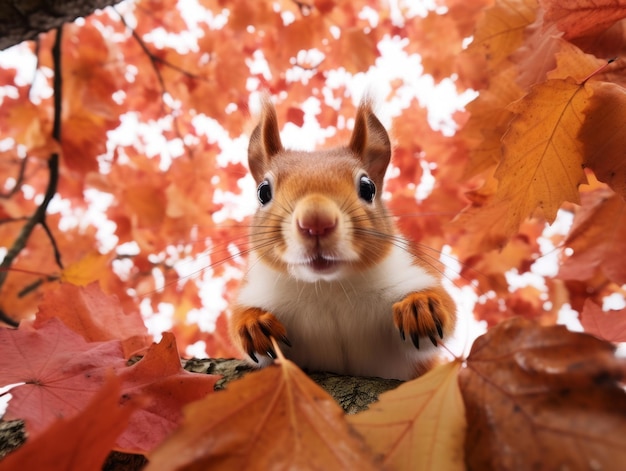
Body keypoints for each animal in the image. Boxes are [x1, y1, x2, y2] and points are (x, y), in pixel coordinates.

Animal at [228, 97, 454, 382]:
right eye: (263, 192)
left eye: (368, 188)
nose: (316, 222)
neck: (329, 288)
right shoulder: (259, 291)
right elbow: (242, 328)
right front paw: (253, 324)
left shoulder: (406, 275)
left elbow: (441, 318)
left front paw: (419, 307)